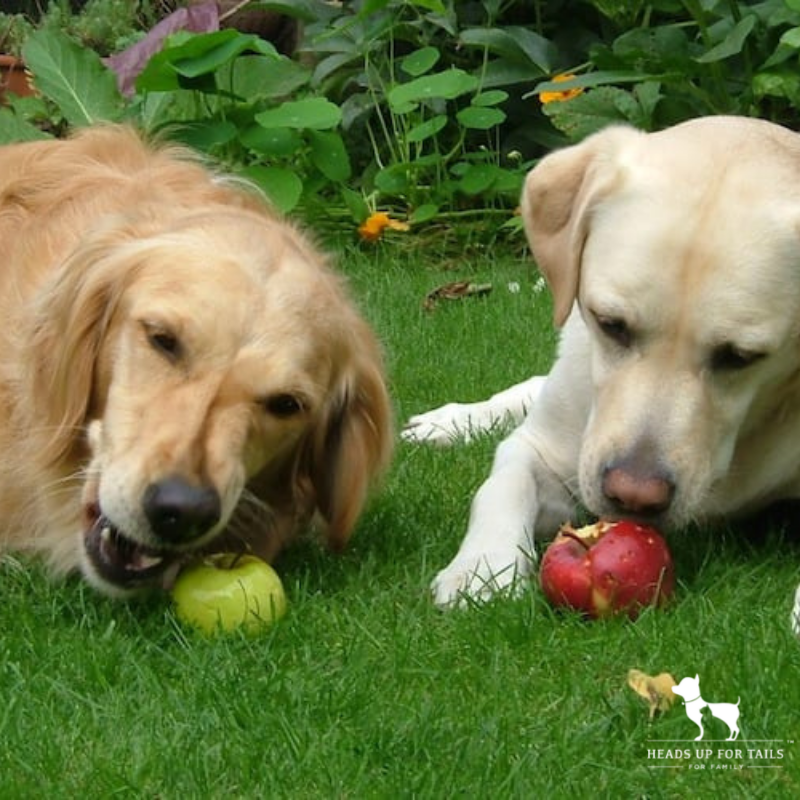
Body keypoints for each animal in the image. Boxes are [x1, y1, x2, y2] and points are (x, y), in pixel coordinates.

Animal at [406, 117, 800, 632]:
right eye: (611, 324)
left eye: (740, 356)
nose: (634, 497)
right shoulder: (543, 449)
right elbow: (501, 485)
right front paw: (483, 569)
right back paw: (450, 421)